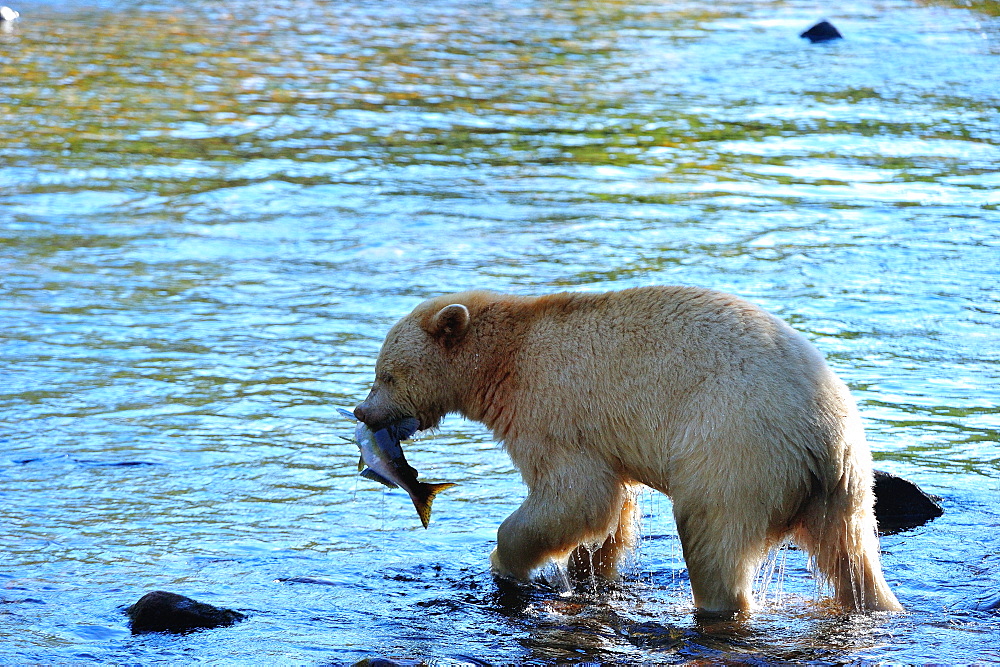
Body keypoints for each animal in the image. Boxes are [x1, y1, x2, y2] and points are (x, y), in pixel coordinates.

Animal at [354, 288, 908, 616]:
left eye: (387, 374)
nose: (363, 412)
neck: (506, 358)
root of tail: (825, 440)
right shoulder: (602, 439)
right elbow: (611, 511)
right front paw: (589, 573)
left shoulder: (551, 406)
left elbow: (574, 496)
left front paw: (506, 561)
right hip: (847, 490)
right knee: (853, 559)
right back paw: (880, 605)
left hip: (734, 450)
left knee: (711, 536)